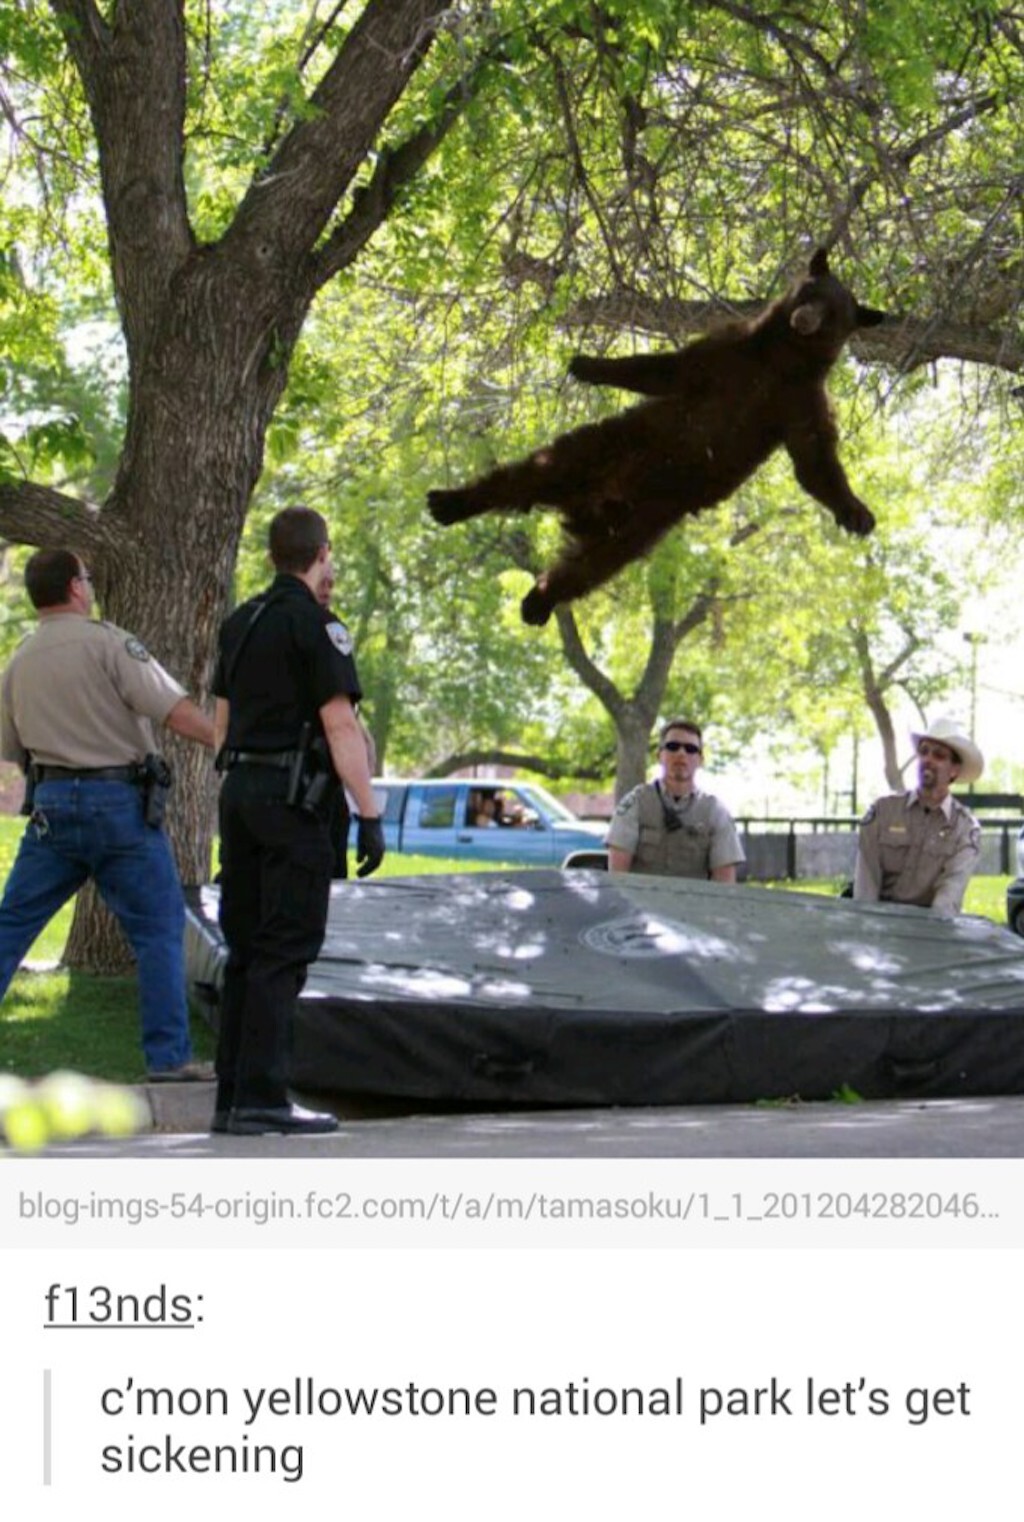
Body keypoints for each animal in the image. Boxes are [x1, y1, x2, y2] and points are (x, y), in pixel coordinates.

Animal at [427, 249, 888, 626]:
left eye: (833, 313)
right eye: (810, 292)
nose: (805, 318)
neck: (782, 358)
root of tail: (591, 507)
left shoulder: (799, 400)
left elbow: (815, 459)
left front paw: (856, 513)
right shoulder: (730, 353)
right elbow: (665, 369)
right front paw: (587, 364)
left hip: (644, 523)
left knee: (589, 567)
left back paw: (537, 601)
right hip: (602, 448)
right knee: (527, 475)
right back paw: (451, 502)